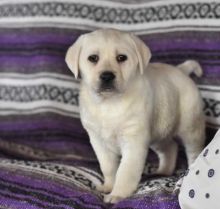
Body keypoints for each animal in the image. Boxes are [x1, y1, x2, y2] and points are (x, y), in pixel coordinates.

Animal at [65, 28, 205, 203]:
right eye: (93, 58)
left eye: (121, 58)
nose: (107, 76)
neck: (109, 103)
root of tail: (180, 70)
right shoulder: (98, 141)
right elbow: (108, 167)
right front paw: (108, 186)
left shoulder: (134, 141)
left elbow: (126, 171)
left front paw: (118, 194)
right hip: (158, 131)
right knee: (170, 147)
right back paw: (164, 171)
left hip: (190, 126)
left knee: (194, 151)